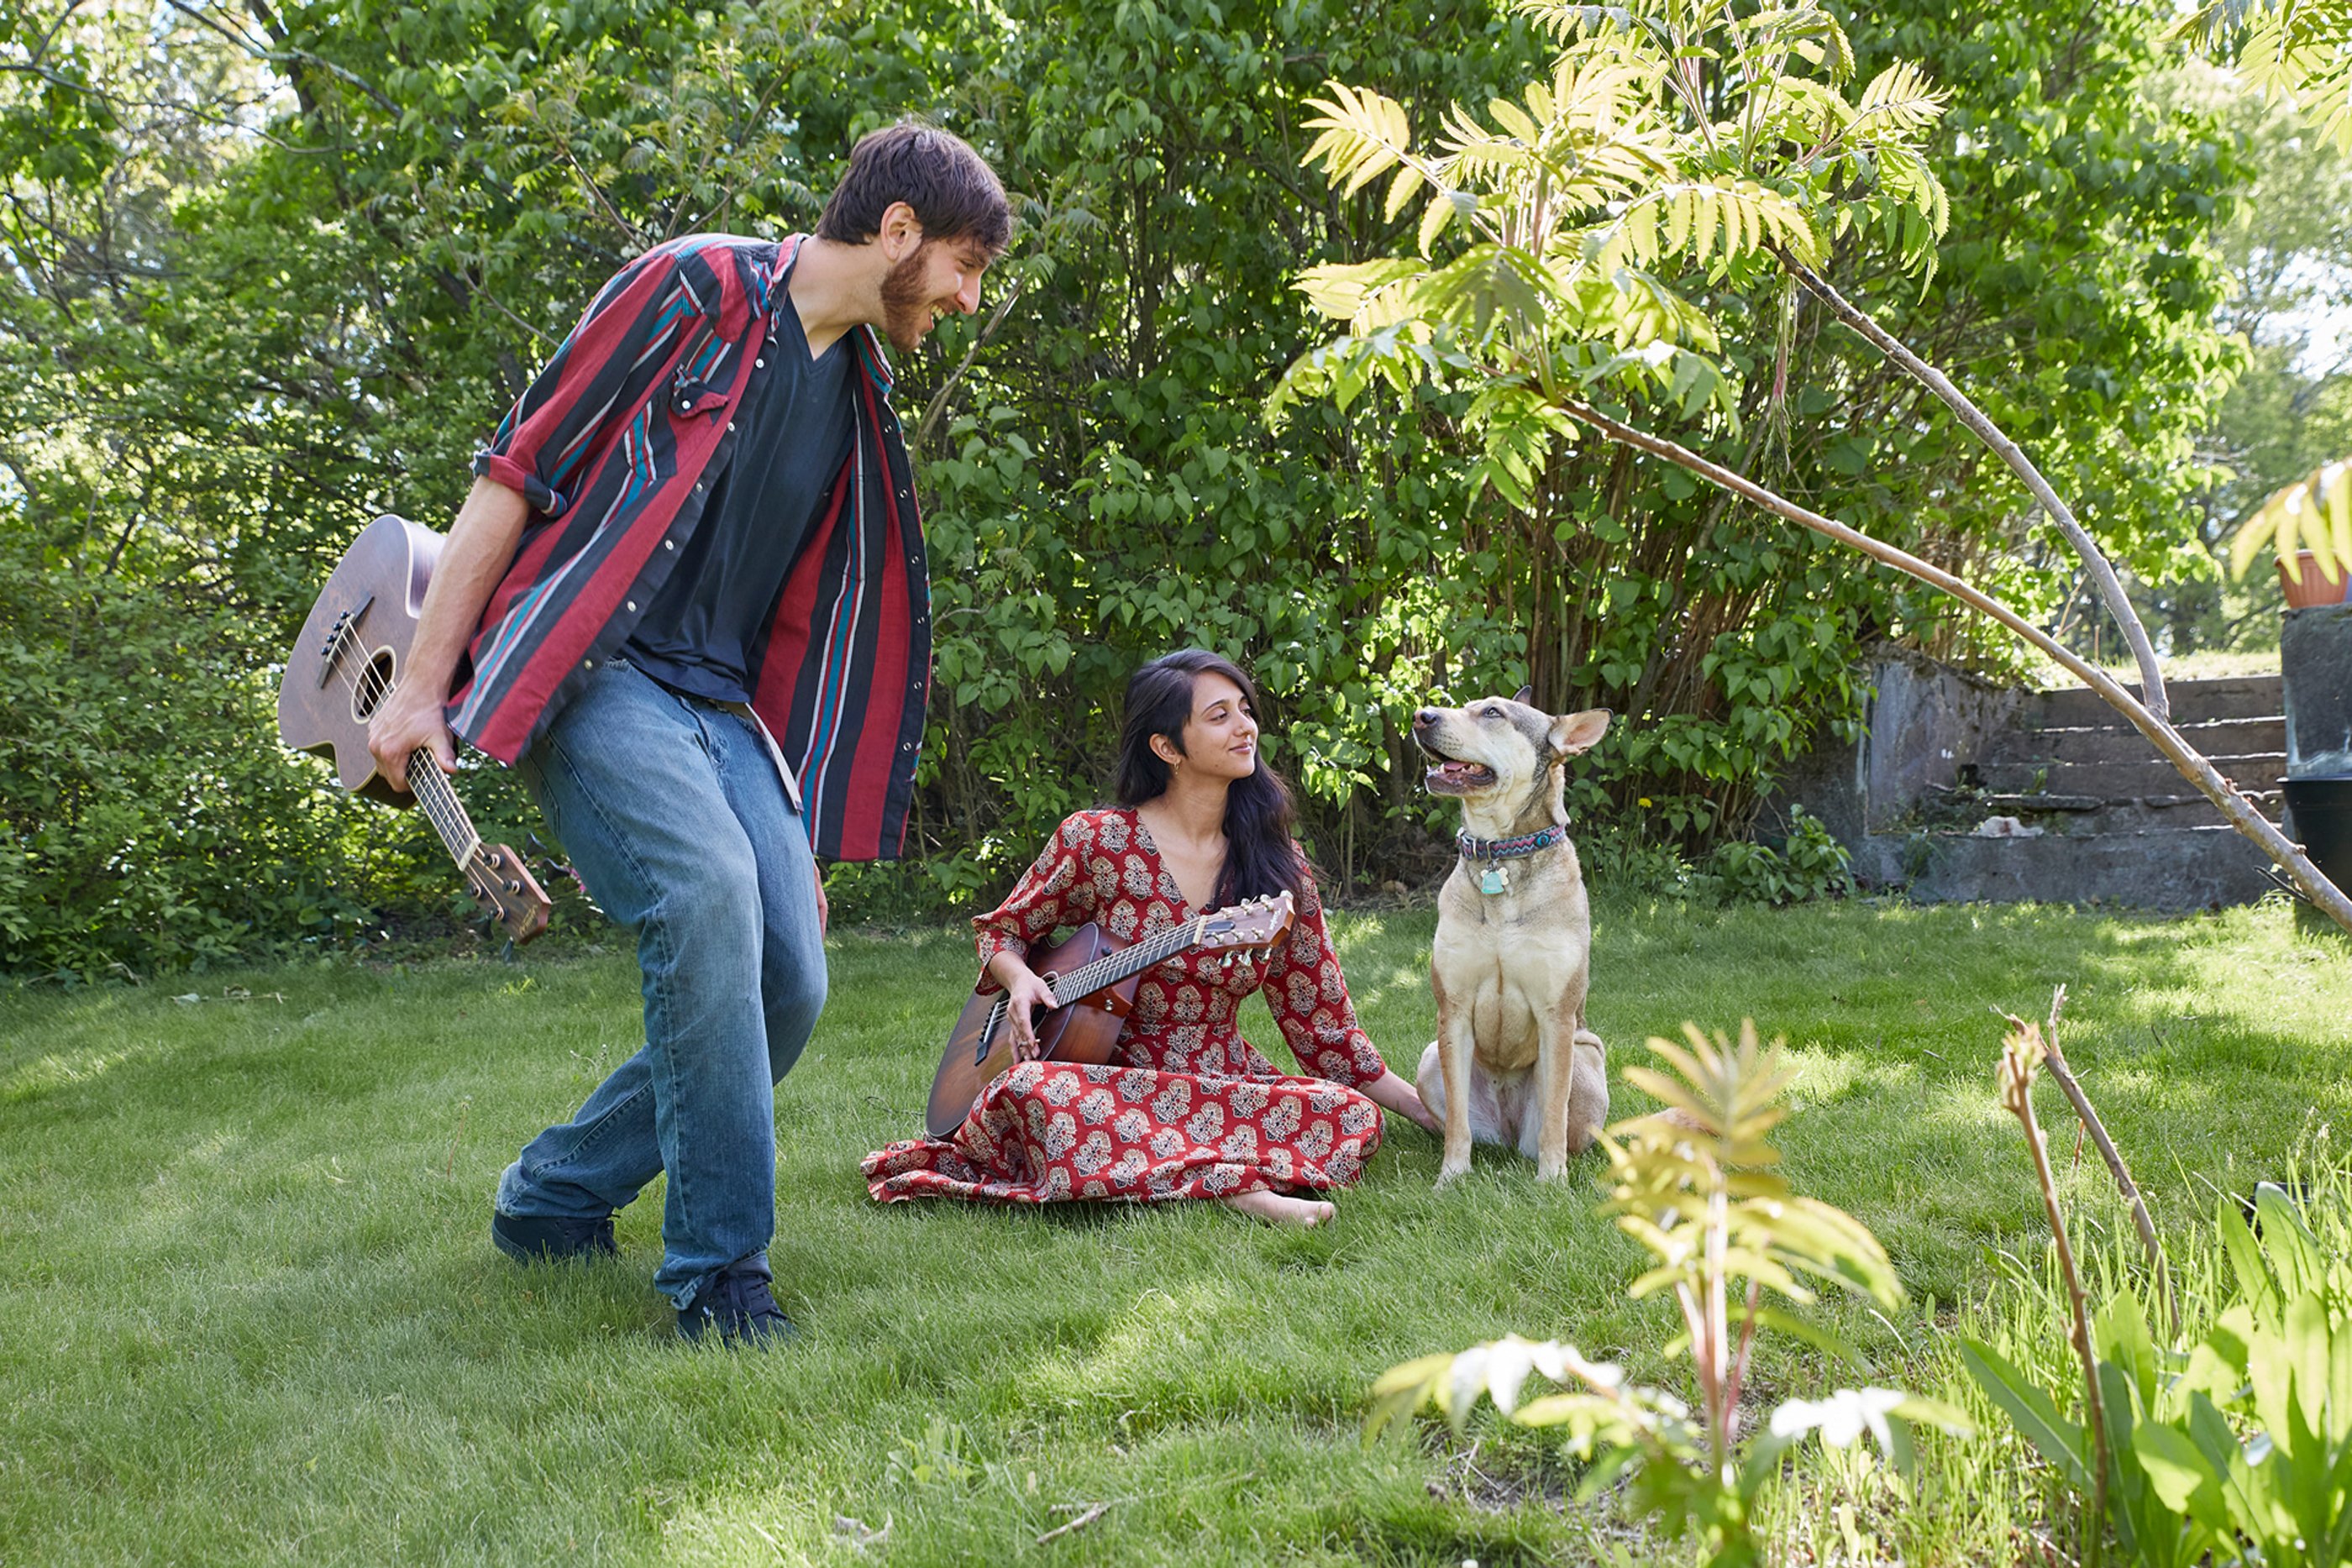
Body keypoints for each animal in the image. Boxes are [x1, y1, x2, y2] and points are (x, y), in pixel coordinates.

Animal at [1411, 688, 1611, 1184]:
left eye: (1492, 712)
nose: (1421, 716)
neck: (1498, 853)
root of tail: (1506, 1132)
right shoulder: (1453, 1011)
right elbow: (1458, 1122)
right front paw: (1451, 1177)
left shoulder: (1557, 1017)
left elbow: (1555, 1114)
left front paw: (1552, 1180)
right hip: (1429, 1058)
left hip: (1584, 1057)